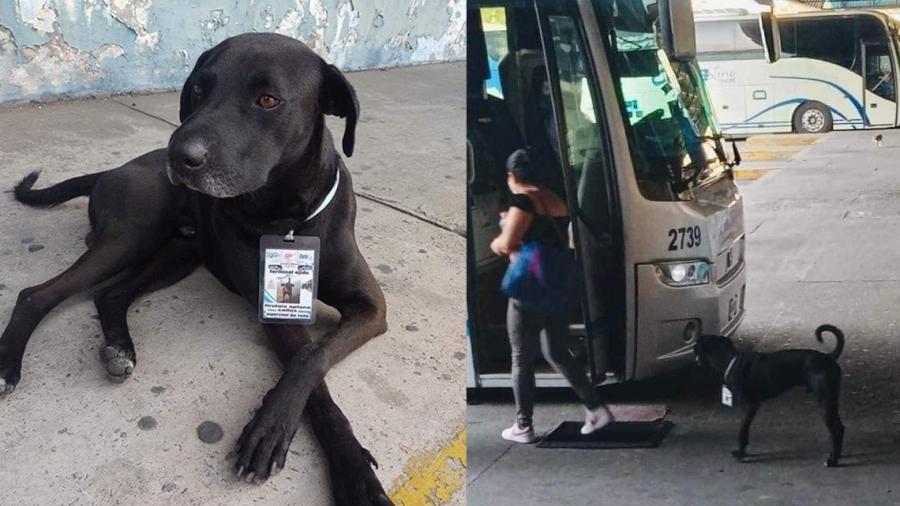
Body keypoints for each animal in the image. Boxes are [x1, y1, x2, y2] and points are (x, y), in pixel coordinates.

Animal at [1, 33, 392, 504]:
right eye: (200, 90)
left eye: (268, 99)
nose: (179, 154)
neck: (288, 219)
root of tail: (114, 169)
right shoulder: (277, 314)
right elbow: (311, 372)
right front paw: (308, 450)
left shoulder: (371, 307)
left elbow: (312, 358)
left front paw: (349, 469)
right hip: (131, 237)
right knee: (37, 294)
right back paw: (7, 365)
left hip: (178, 255)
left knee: (110, 293)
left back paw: (120, 348)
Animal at [692, 326, 848, 468]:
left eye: (699, 341)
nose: (693, 347)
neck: (731, 360)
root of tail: (829, 358)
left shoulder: (750, 405)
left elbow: (742, 428)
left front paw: (741, 453)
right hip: (831, 401)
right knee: (840, 428)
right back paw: (836, 455)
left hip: (824, 401)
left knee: (835, 430)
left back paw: (833, 460)